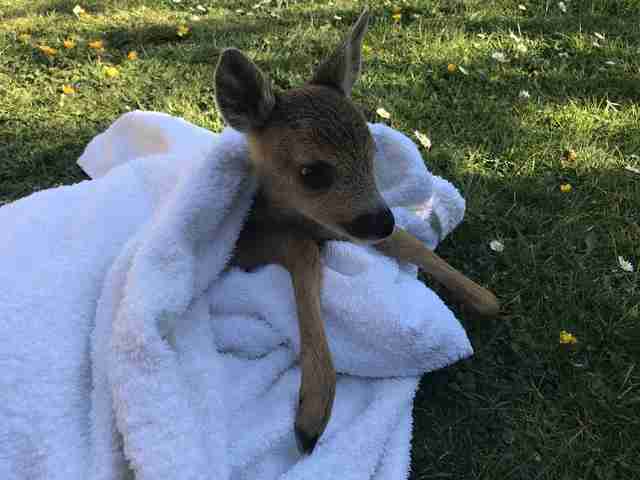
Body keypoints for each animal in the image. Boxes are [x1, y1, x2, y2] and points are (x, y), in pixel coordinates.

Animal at [215, 9, 500, 456]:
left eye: (372, 152)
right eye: (312, 173)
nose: (381, 220)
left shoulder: (345, 224)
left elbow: (411, 243)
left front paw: (485, 298)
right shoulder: (246, 247)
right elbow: (306, 254)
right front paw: (312, 415)